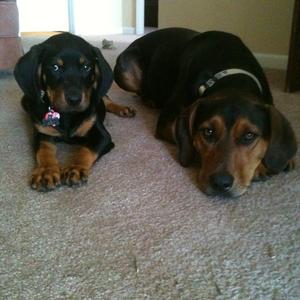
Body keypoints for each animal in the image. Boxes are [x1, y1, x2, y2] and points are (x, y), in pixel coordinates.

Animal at [14, 32, 134, 191]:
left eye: (86, 67)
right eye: (55, 67)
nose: (74, 99)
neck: (67, 115)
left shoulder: (101, 135)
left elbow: (86, 149)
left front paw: (75, 168)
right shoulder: (42, 132)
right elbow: (43, 151)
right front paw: (46, 171)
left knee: (106, 99)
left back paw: (123, 109)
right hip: (26, 99)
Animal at [115, 27, 298, 197]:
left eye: (249, 135)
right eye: (208, 132)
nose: (221, 183)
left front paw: (283, 158)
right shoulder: (167, 121)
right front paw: (260, 167)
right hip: (125, 69)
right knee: (140, 91)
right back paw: (149, 99)